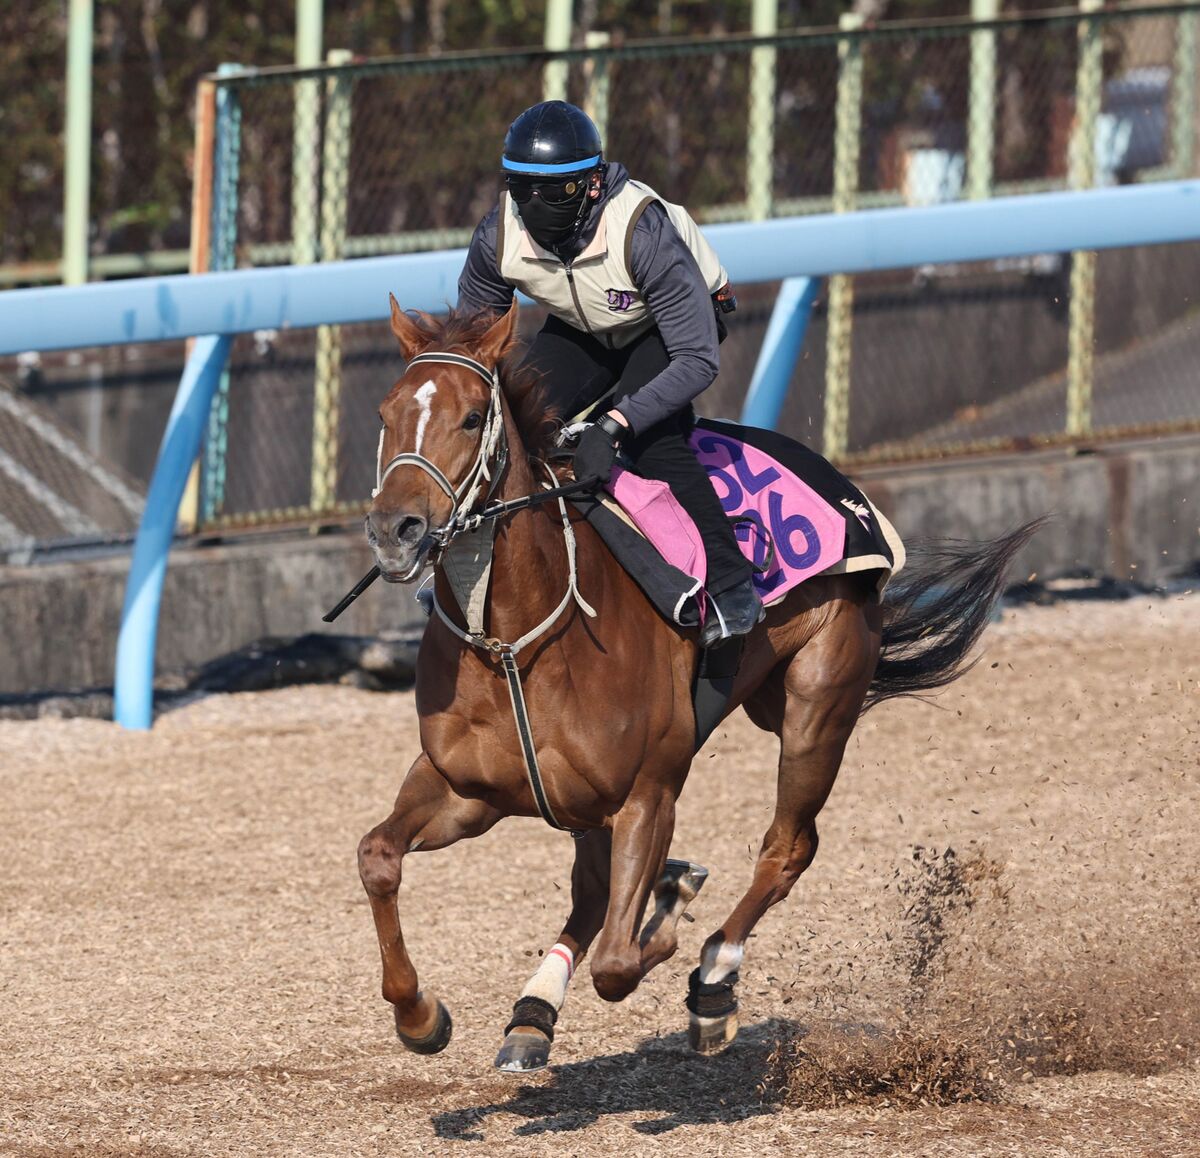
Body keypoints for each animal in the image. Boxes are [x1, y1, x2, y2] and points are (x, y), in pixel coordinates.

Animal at [355, 296, 1038, 1070]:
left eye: (472, 418)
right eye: (385, 413)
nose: (396, 529)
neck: (513, 642)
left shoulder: (648, 793)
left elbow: (620, 960)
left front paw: (677, 906)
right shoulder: (467, 789)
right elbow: (378, 857)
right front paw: (419, 1014)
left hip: (816, 704)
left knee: (786, 848)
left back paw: (713, 978)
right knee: (594, 889)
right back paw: (534, 1014)